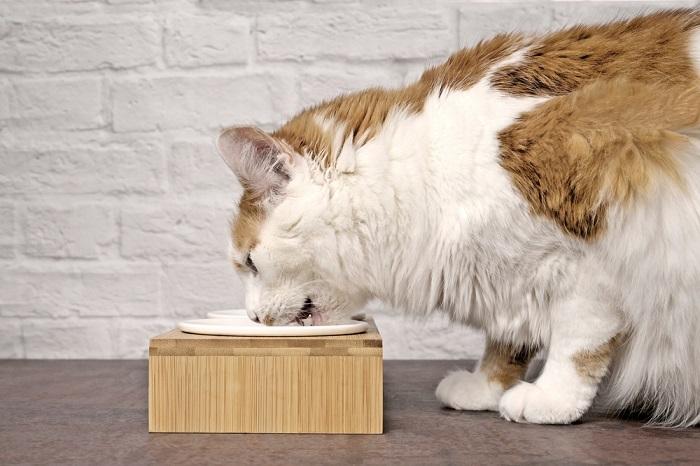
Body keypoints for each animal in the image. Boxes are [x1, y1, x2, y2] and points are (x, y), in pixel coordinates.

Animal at [215, 10, 700, 426]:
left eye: (250, 263)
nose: (254, 318)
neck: (427, 173)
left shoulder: (595, 257)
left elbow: (577, 340)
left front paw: (552, 400)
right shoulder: (515, 275)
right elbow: (506, 344)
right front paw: (485, 388)